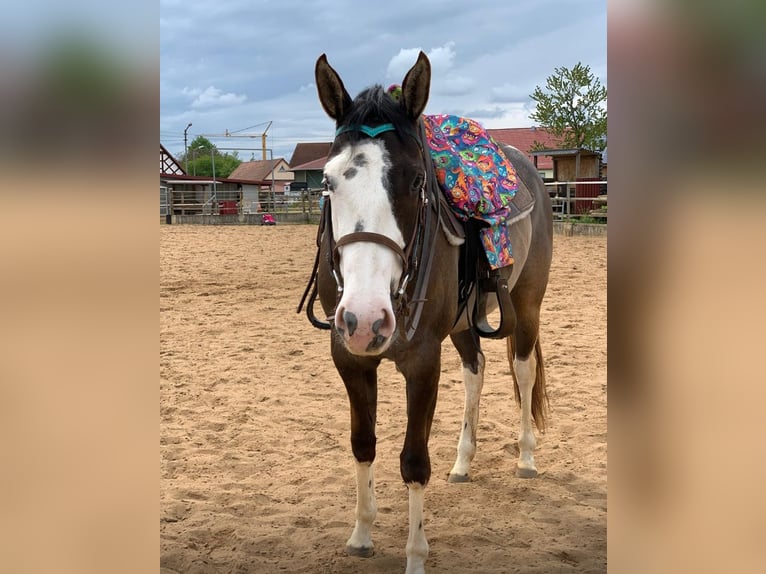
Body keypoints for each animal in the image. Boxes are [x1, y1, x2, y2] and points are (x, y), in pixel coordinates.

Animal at [303, 51, 553, 574]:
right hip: (462, 325)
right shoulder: (349, 357)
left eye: (417, 180)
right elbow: (363, 443)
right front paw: (361, 533)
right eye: (328, 184)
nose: (365, 319)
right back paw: (463, 462)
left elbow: (414, 460)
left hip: (526, 306)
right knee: (476, 370)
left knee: (521, 372)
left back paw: (526, 458)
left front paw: (415, 555)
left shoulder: (422, 362)